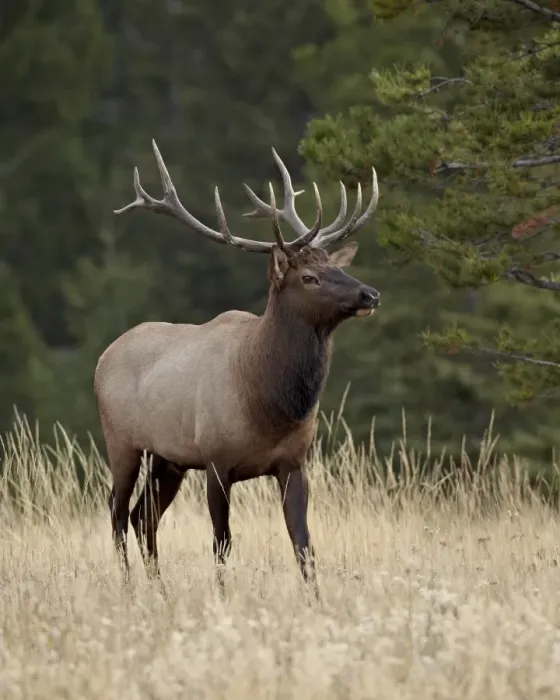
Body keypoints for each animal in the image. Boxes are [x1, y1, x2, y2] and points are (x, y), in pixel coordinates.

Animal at [94, 139, 380, 596]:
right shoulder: (216, 460)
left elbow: (303, 543)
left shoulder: (293, 462)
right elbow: (222, 542)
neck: (268, 404)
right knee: (118, 510)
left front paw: (315, 599)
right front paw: (222, 595)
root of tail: (104, 356)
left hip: (168, 459)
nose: (370, 294)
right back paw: (129, 586)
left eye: (338, 267)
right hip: (122, 441)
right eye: (310, 277)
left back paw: (159, 587)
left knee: (144, 516)